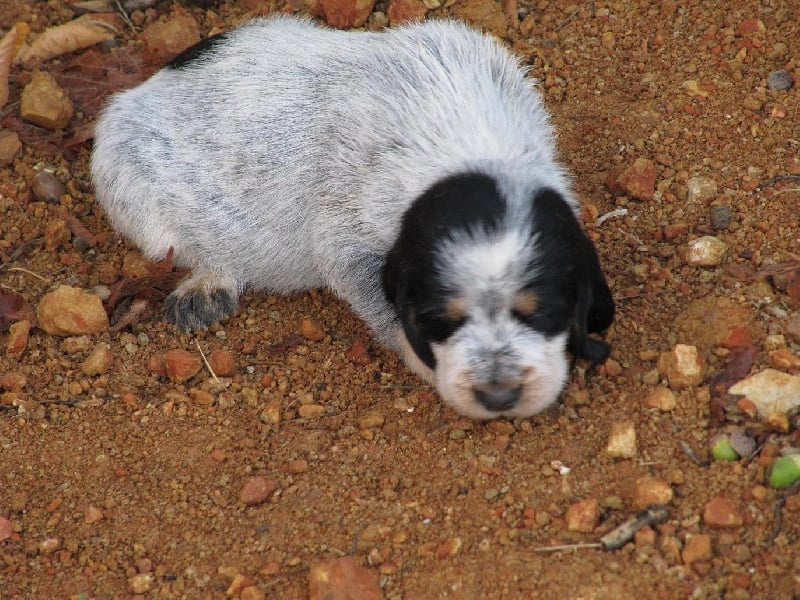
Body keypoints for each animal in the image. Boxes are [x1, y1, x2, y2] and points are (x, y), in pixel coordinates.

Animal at [90, 16, 612, 420]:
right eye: (442, 318)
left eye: (541, 311)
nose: (500, 396)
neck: (471, 144)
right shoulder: (348, 237)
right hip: (120, 169)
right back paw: (207, 281)